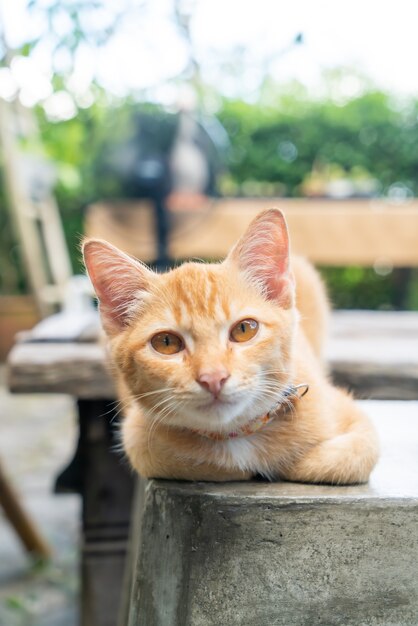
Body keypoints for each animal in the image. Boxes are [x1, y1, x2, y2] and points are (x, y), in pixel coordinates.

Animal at [82, 210, 378, 482]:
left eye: (244, 329)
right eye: (166, 343)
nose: (213, 378)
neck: (237, 435)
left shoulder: (350, 414)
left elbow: (358, 453)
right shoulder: (137, 436)